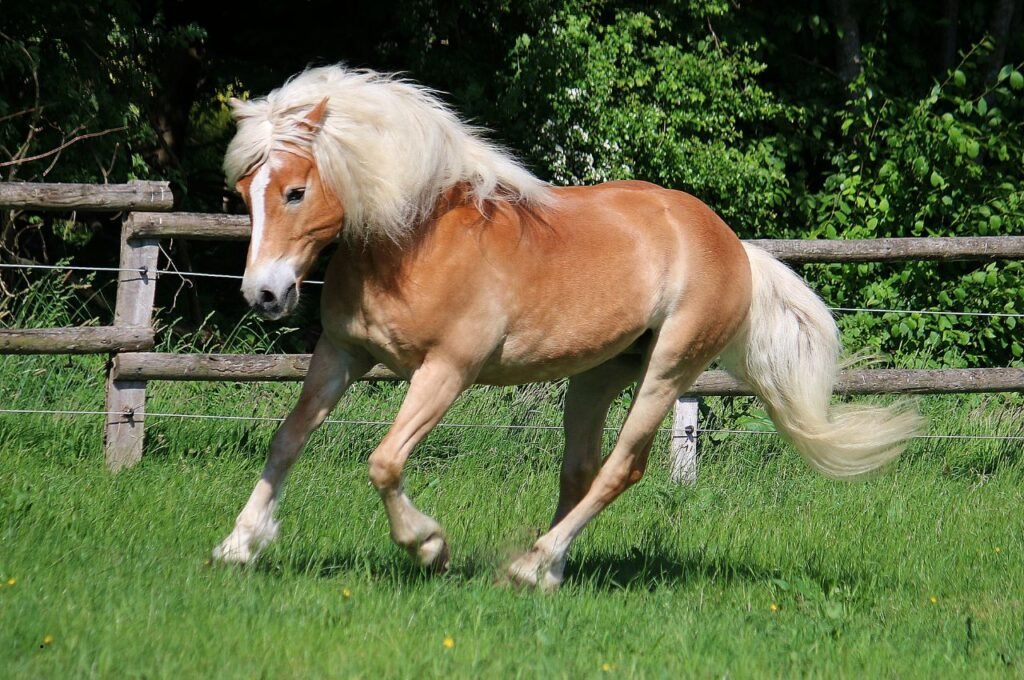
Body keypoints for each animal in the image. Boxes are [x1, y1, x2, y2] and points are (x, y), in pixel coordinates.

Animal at [211, 65, 921, 590]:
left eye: (296, 191)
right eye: (243, 193)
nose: (264, 294)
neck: (415, 240)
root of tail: (732, 245)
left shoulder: (447, 370)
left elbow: (384, 461)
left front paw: (429, 546)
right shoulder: (341, 354)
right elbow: (287, 440)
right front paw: (239, 546)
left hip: (668, 371)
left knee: (621, 469)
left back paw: (530, 566)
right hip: (599, 375)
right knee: (579, 469)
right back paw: (548, 568)